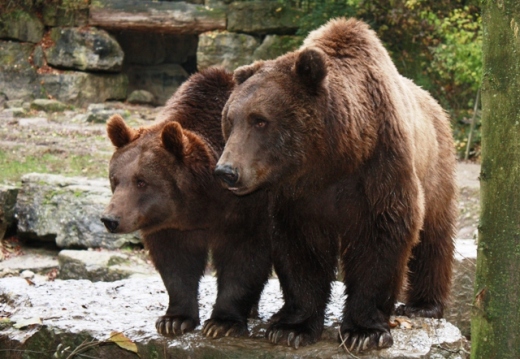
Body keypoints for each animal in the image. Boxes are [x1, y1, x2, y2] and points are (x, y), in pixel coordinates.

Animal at [102, 68, 272, 340]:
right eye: (115, 179)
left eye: (141, 181)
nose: (110, 219)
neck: (201, 203)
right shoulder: (173, 225)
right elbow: (176, 262)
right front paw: (174, 320)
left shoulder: (246, 205)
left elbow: (244, 255)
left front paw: (222, 323)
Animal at [214, 18, 456, 352]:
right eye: (230, 119)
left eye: (260, 120)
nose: (227, 171)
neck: (333, 158)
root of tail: (435, 104)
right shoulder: (298, 195)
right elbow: (299, 248)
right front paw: (291, 327)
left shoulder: (380, 166)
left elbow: (383, 236)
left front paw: (364, 331)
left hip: (435, 166)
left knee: (434, 234)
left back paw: (423, 305)